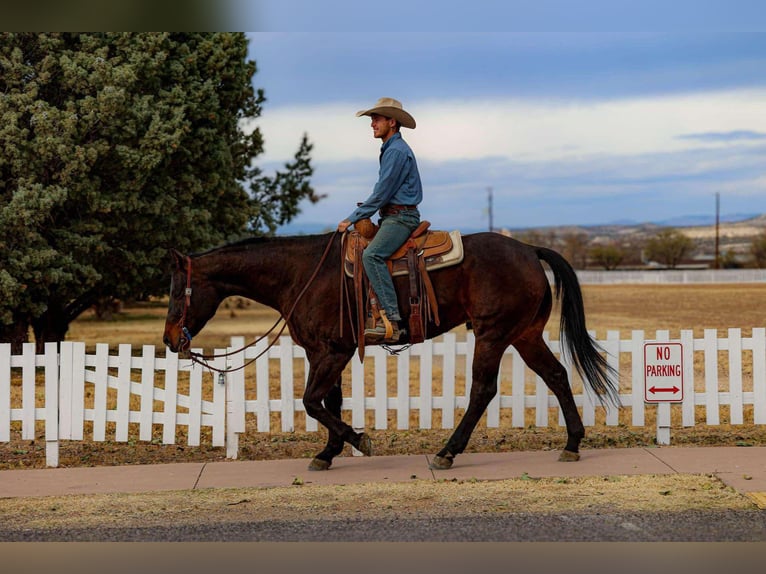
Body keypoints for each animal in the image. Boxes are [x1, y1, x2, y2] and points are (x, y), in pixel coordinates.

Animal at [162, 233, 616, 472]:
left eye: (176, 291)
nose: (169, 339)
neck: (301, 274)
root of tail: (528, 249)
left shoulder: (332, 353)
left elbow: (311, 401)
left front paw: (358, 440)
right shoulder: (327, 353)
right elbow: (328, 401)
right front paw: (328, 452)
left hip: (492, 335)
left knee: (482, 391)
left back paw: (447, 452)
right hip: (524, 335)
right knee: (556, 376)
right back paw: (573, 443)